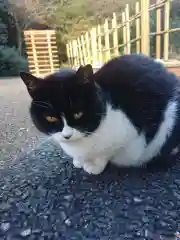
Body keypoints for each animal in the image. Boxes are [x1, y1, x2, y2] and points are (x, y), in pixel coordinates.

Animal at [19, 54, 180, 174]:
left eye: (78, 113)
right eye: (50, 118)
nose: (67, 135)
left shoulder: (129, 132)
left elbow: (105, 153)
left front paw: (95, 166)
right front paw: (79, 161)